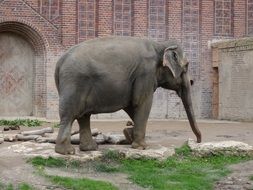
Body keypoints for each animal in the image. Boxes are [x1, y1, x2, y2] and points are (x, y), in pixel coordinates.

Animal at [54, 35, 202, 154]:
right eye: (186, 66)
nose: (197, 141)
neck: (159, 45)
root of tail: (59, 62)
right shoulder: (145, 73)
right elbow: (141, 102)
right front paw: (141, 147)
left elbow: (131, 105)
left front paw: (129, 134)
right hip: (74, 83)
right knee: (69, 115)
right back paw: (67, 152)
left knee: (84, 116)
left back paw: (90, 148)